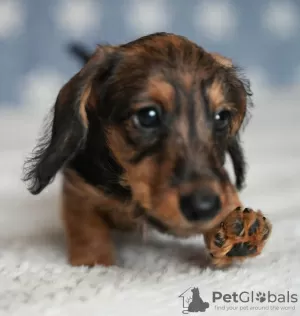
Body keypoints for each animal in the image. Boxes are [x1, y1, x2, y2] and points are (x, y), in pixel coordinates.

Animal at [23, 33, 270, 266]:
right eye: (148, 116)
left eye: (222, 117)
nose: (204, 207)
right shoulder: (78, 186)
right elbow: (86, 226)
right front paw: (95, 260)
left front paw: (236, 228)